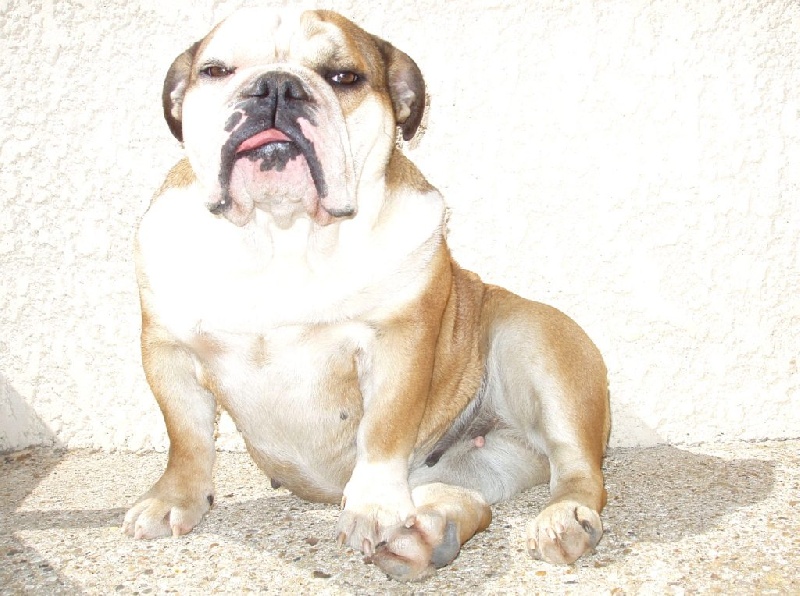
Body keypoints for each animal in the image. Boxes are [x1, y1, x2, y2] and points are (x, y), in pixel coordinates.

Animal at [123, 7, 610, 582]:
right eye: (216, 71)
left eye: (343, 77)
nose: (276, 86)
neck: (283, 236)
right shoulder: (168, 350)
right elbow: (187, 438)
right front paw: (173, 499)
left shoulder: (397, 341)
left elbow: (382, 431)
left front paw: (375, 507)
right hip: (476, 465)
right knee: (471, 502)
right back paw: (423, 538)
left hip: (537, 344)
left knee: (578, 470)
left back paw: (561, 521)